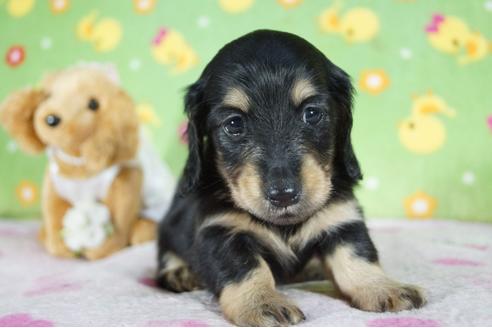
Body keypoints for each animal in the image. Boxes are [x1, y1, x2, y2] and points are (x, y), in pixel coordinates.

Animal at [157, 30, 422, 326]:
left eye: (312, 113)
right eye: (234, 124)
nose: (283, 194)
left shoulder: (342, 219)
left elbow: (357, 256)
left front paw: (383, 287)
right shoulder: (221, 231)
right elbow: (247, 268)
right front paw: (262, 302)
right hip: (169, 228)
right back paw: (180, 272)